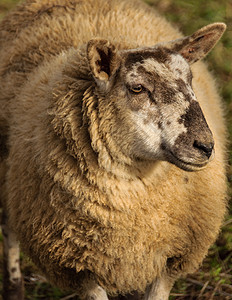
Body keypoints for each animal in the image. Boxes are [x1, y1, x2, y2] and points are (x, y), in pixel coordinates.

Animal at [0, 0, 227, 298]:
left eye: (190, 81)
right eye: (138, 88)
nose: (205, 145)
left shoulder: (171, 259)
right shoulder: (79, 265)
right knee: (9, 227)